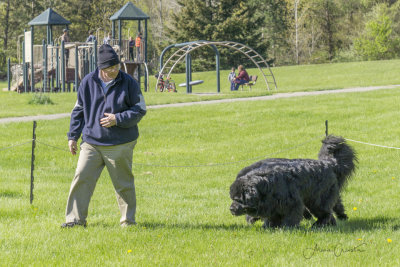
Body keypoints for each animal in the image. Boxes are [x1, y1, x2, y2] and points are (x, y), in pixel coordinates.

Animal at [230, 136, 358, 228]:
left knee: (325, 212)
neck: (266, 186)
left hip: (317, 199)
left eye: (238, 199)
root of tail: (328, 163)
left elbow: (291, 216)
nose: (231, 208)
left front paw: (287, 228)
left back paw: (319, 224)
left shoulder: (291, 202)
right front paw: (268, 227)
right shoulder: (272, 205)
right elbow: (272, 217)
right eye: (232, 198)